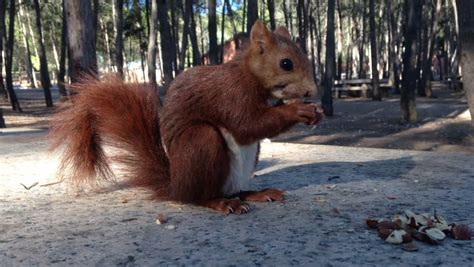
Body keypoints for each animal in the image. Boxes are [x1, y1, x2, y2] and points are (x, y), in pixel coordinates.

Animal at [49, 22, 322, 217]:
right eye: (286, 63)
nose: (312, 91)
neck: (249, 75)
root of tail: (175, 186)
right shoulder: (231, 94)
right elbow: (247, 125)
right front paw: (297, 110)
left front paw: (315, 112)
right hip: (201, 142)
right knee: (199, 197)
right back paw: (222, 204)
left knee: (237, 190)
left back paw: (257, 193)